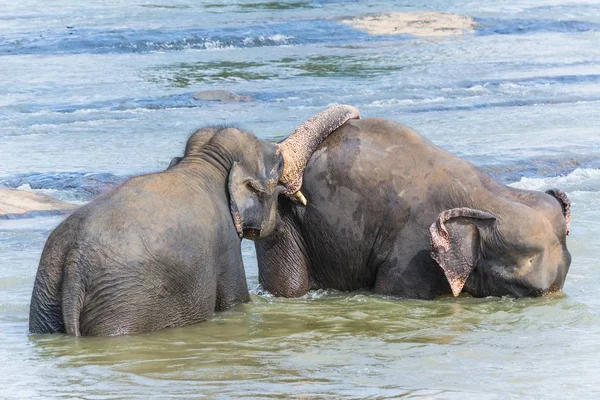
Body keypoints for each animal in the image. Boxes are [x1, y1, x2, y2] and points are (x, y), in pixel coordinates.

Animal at [29, 104, 360, 336]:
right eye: (278, 163)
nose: (356, 114)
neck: (205, 161)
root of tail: (75, 261)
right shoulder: (225, 241)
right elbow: (234, 301)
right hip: (121, 306)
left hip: (46, 298)